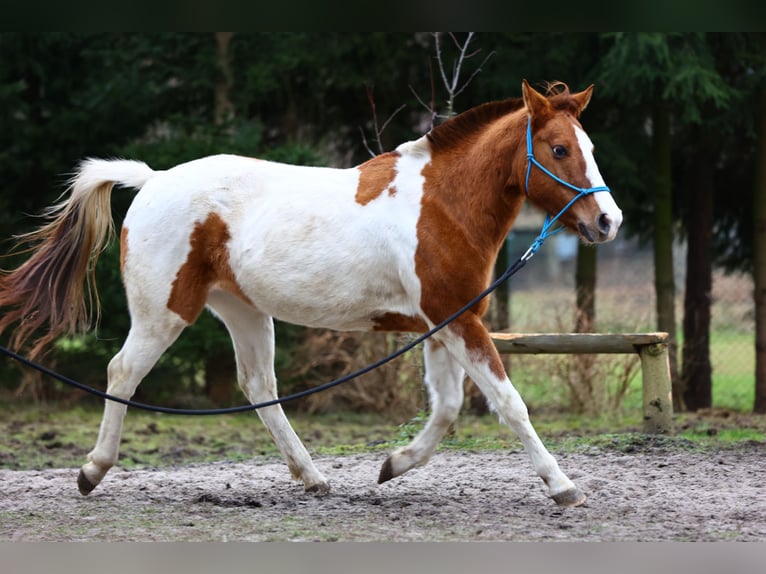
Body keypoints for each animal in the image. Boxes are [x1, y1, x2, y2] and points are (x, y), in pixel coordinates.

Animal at [0, 80, 624, 508]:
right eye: (560, 149)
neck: (443, 205)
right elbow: (509, 403)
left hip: (244, 313)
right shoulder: (456, 321)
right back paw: (92, 471)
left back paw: (314, 478)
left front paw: (393, 465)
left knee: (259, 387)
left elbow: (446, 408)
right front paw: (563, 486)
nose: (608, 221)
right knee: (123, 372)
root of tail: (153, 180)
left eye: (591, 145)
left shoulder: (442, 324)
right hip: (164, 313)